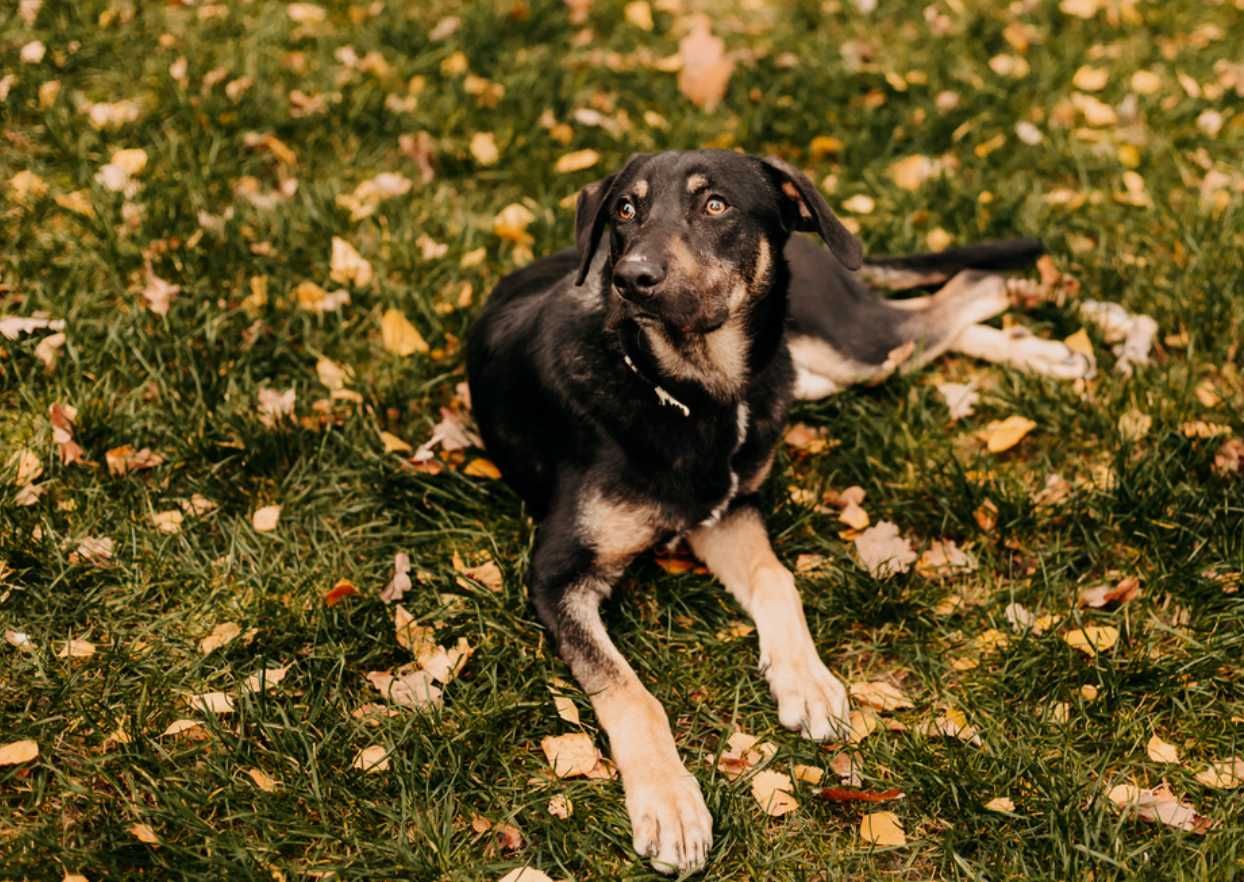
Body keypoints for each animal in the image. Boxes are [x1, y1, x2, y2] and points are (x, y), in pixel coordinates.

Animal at [462, 151, 1094, 875]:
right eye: (624, 209)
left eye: (715, 205)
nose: (629, 277)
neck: (691, 392)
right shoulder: (560, 573)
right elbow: (630, 691)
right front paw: (670, 803)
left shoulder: (727, 510)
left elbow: (776, 578)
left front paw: (806, 680)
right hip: (818, 369)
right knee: (929, 326)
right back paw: (1042, 348)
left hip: (843, 343)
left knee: (953, 299)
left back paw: (1029, 323)